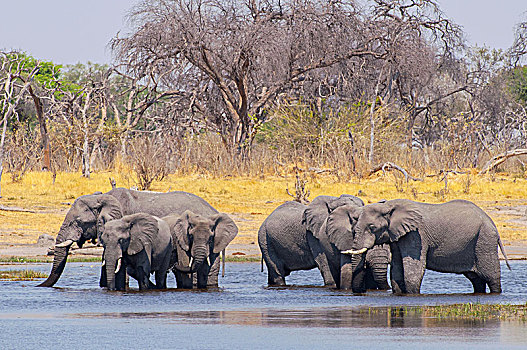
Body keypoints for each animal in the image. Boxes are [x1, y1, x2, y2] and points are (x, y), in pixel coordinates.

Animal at [348, 198, 510, 294]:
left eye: (372, 227)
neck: (389, 206)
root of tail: (491, 222)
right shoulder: (398, 236)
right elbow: (397, 267)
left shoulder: (416, 234)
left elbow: (413, 268)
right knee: (476, 279)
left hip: (484, 240)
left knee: (491, 277)